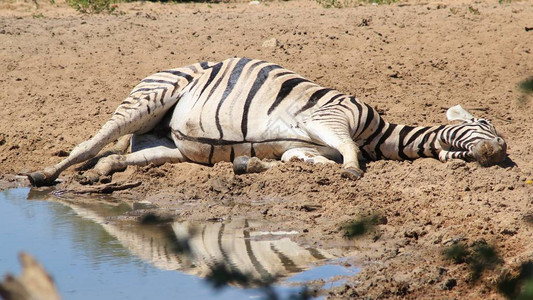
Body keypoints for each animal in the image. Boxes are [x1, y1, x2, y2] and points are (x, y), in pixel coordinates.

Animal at [27, 57, 504, 186]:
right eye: (485, 122)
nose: (498, 152)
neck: (379, 135)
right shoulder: (329, 117)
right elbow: (349, 152)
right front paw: (353, 172)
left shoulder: (305, 142)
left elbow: (307, 160)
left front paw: (249, 163)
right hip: (150, 98)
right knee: (91, 143)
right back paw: (43, 175)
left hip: (168, 147)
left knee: (120, 156)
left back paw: (100, 174)